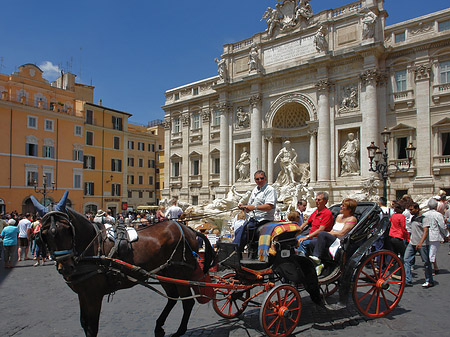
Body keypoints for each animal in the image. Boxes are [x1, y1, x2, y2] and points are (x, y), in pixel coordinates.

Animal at [31, 192, 214, 336]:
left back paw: (179, 331)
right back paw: (159, 327)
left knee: (187, 302)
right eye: (44, 233)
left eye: (68, 229)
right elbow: (84, 323)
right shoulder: (83, 294)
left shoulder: (93, 295)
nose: (66, 267)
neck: (92, 247)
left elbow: (92, 327)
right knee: (173, 298)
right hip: (165, 273)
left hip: (179, 272)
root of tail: (189, 229)